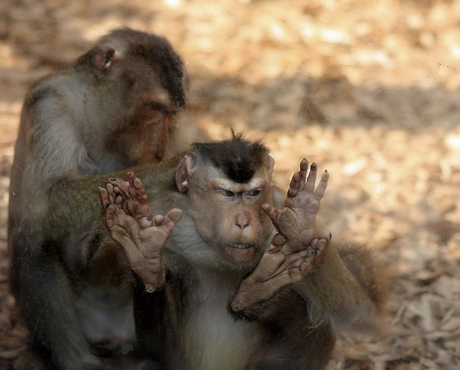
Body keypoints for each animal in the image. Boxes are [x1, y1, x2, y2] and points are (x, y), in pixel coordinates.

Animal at [7, 28, 187, 370]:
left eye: (170, 115)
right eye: (155, 108)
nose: (160, 149)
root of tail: (111, 333)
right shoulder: (49, 106)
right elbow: (43, 205)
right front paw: (173, 166)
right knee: (32, 239)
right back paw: (77, 360)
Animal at [98, 137, 388, 370]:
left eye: (253, 193)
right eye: (227, 193)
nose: (242, 222)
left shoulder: (277, 212)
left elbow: (366, 312)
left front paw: (298, 225)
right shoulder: (160, 206)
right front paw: (145, 256)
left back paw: (253, 295)